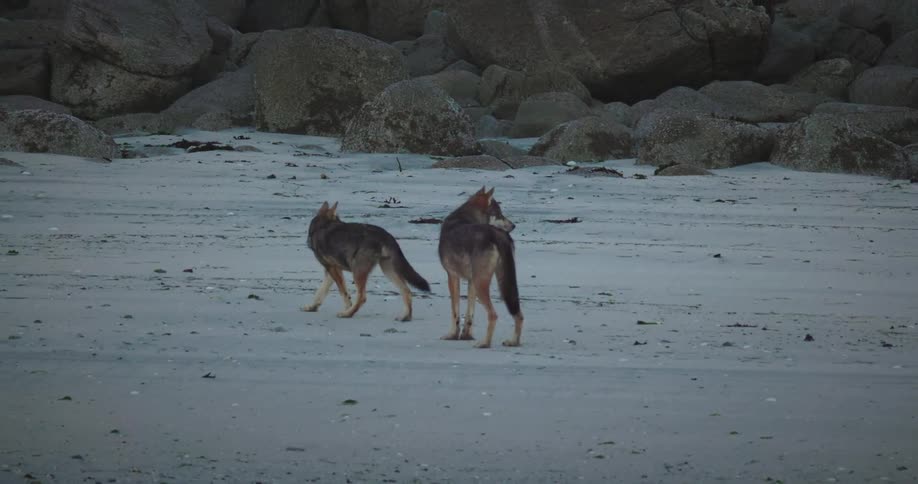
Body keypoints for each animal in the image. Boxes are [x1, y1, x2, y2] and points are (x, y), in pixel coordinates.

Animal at [438, 187, 524, 348]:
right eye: (499, 214)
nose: (514, 226)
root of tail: (497, 235)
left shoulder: (452, 276)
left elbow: (455, 312)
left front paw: (452, 335)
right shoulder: (471, 282)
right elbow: (469, 315)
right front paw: (466, 336)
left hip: (482, 284)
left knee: (493, 315)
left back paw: (484, 343)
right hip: (503, 284)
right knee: (518, 314)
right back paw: (513, 342)